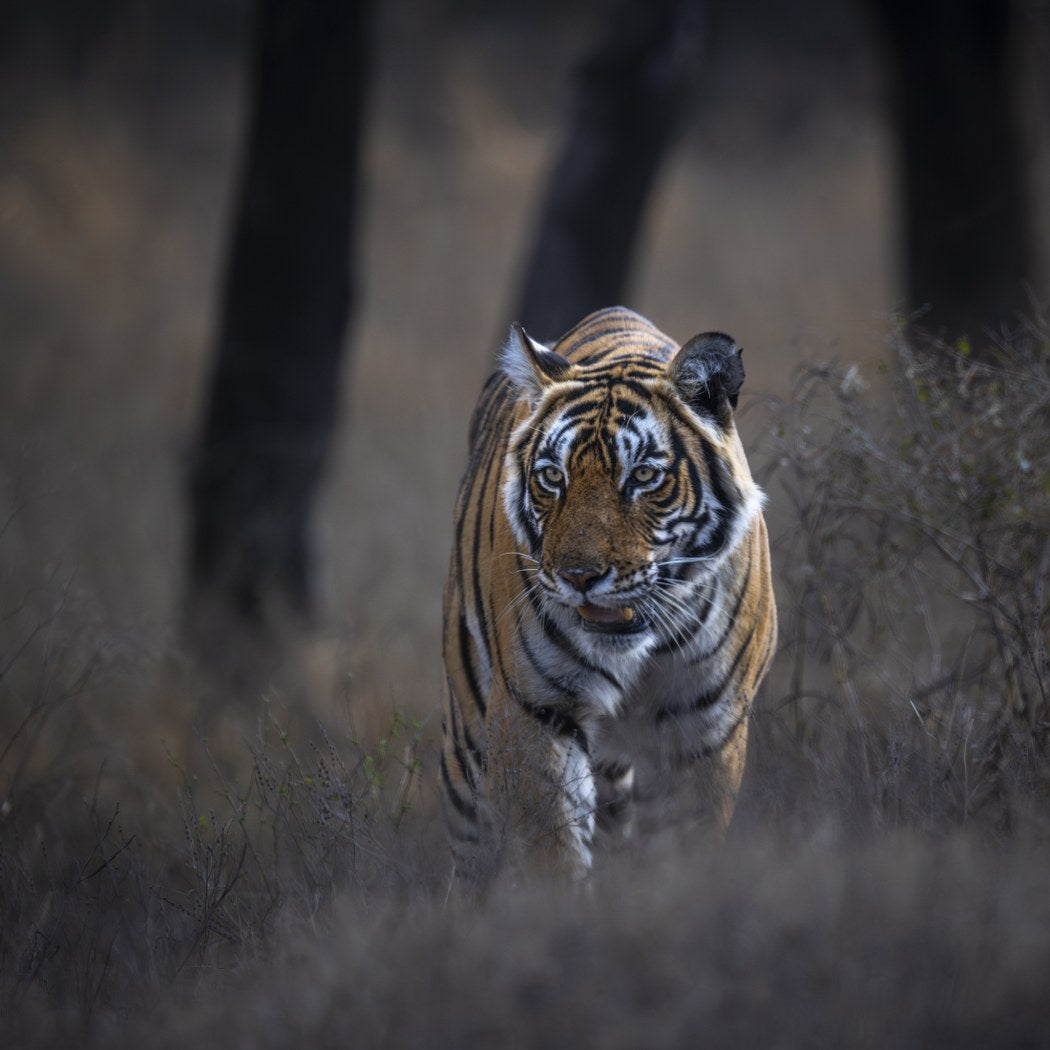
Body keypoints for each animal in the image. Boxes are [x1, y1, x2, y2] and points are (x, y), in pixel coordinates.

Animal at [441, 306, 776, 883]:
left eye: (641, 475)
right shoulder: (537, 712)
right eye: (552, 477)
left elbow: (687, 847)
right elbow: (552, 850)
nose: (578, 575)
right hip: (466, 742)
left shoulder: (705, 726)